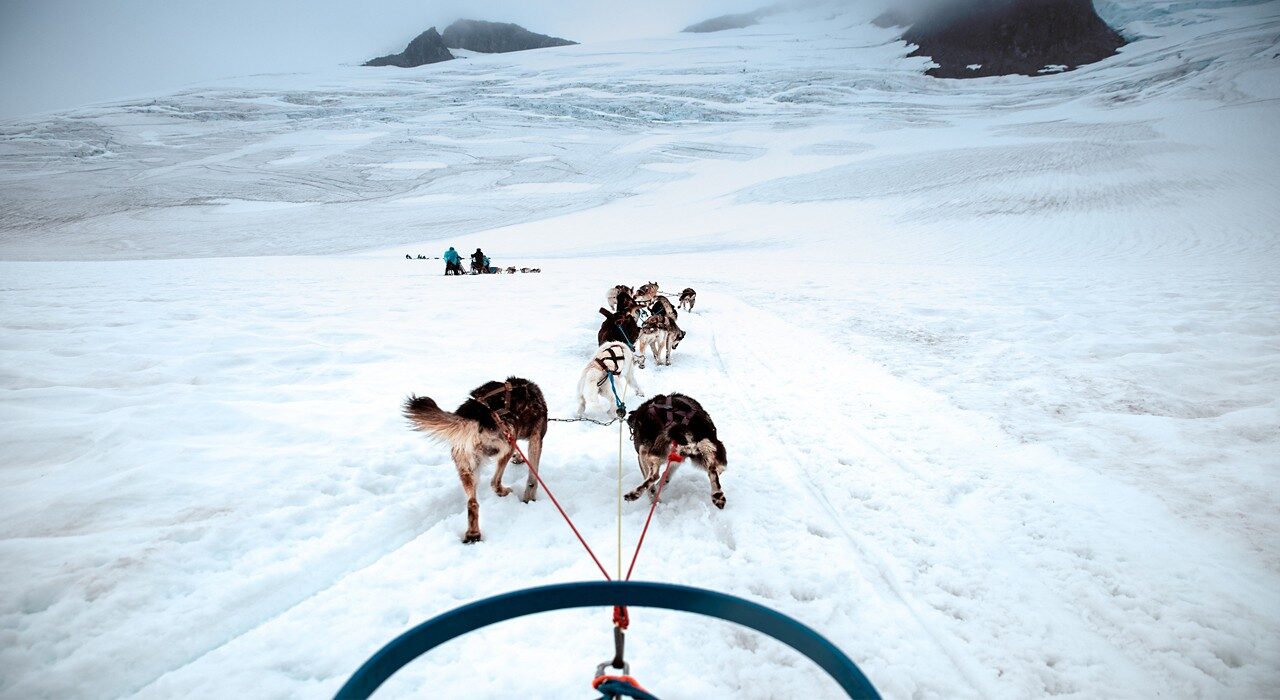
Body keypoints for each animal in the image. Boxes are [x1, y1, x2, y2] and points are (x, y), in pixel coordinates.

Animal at [404, 378, 545, 547]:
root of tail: (475, 416)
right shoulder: (536, 438)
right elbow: (532, 478)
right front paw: (530, 497)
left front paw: (519, 458)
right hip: (507, 443)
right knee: (494, 482)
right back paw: (502, 491)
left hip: (466, 466)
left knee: (472, 503)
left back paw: (473, 534)